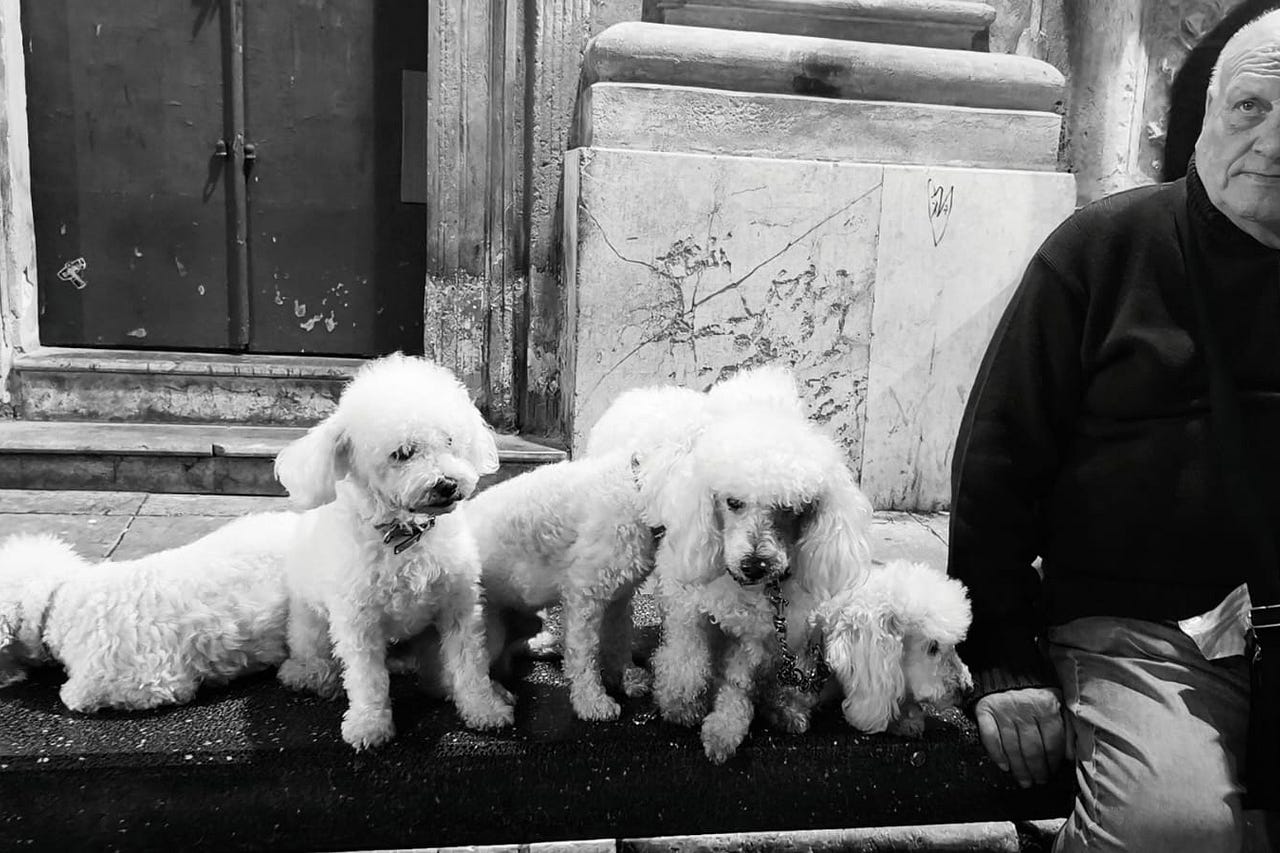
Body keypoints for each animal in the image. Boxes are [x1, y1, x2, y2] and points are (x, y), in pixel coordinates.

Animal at [273, 353, 514, 750]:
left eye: (450, 440)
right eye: (402, 454)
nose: (447, 484)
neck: (407, 535)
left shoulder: (458, 606)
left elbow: (469, 663)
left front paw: (483, 707)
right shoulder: (358, 622)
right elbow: (367, 679)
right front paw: (369, 724)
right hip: (310, 625)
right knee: (309, 662)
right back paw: (315, 677)